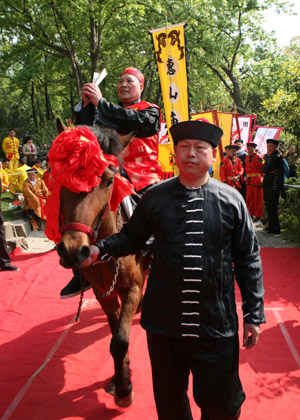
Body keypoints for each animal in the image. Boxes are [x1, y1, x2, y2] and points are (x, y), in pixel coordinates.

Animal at [53, 124, 145, 406]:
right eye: (61, 178)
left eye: (107, 180)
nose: (74, 249)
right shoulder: (103, 292)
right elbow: (115, 332)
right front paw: (120, 377)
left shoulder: (133, 287)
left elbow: (120, 340)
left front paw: (125, 389)